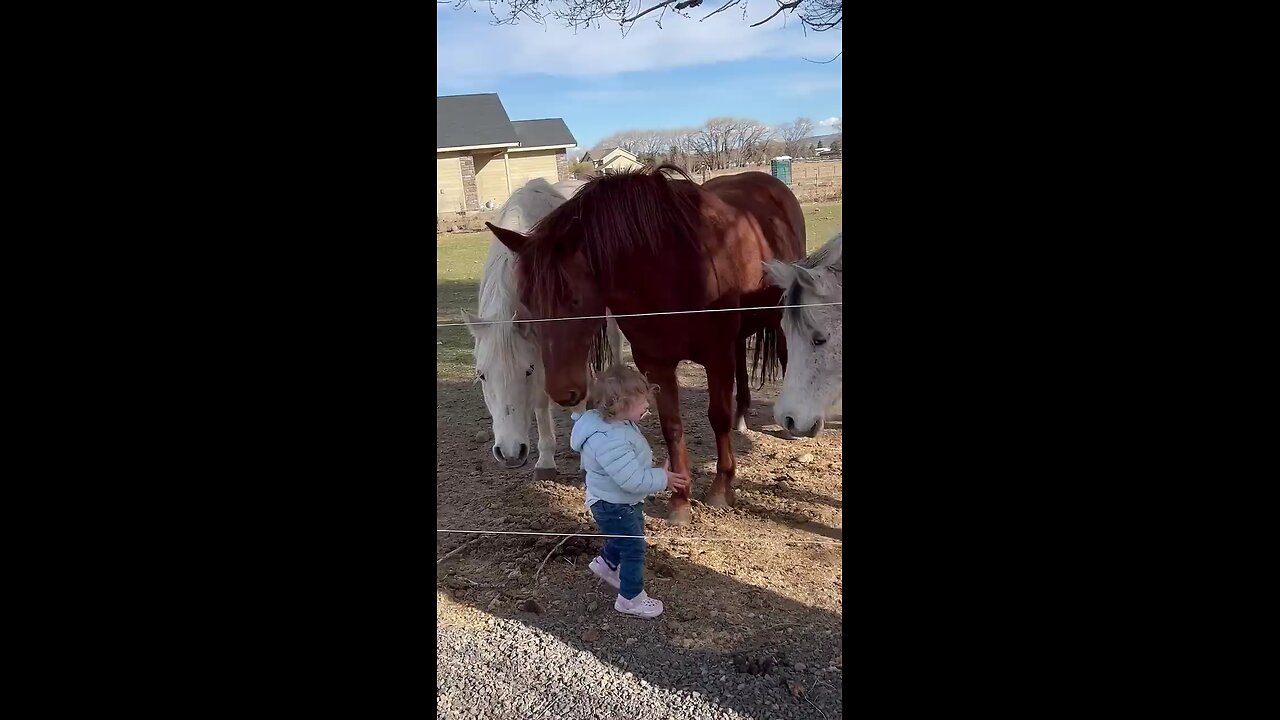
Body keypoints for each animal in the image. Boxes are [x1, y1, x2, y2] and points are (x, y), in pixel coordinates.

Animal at [483, 163, 803, 520]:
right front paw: (679, 501)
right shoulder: (655, 363)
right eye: (526, 303)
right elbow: (672, 426)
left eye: (575, 300)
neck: (674, 269)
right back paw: (742, 417)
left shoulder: (716, 355)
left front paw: (721, 488)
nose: (563, 392)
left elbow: (717, 416)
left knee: (787, 355)